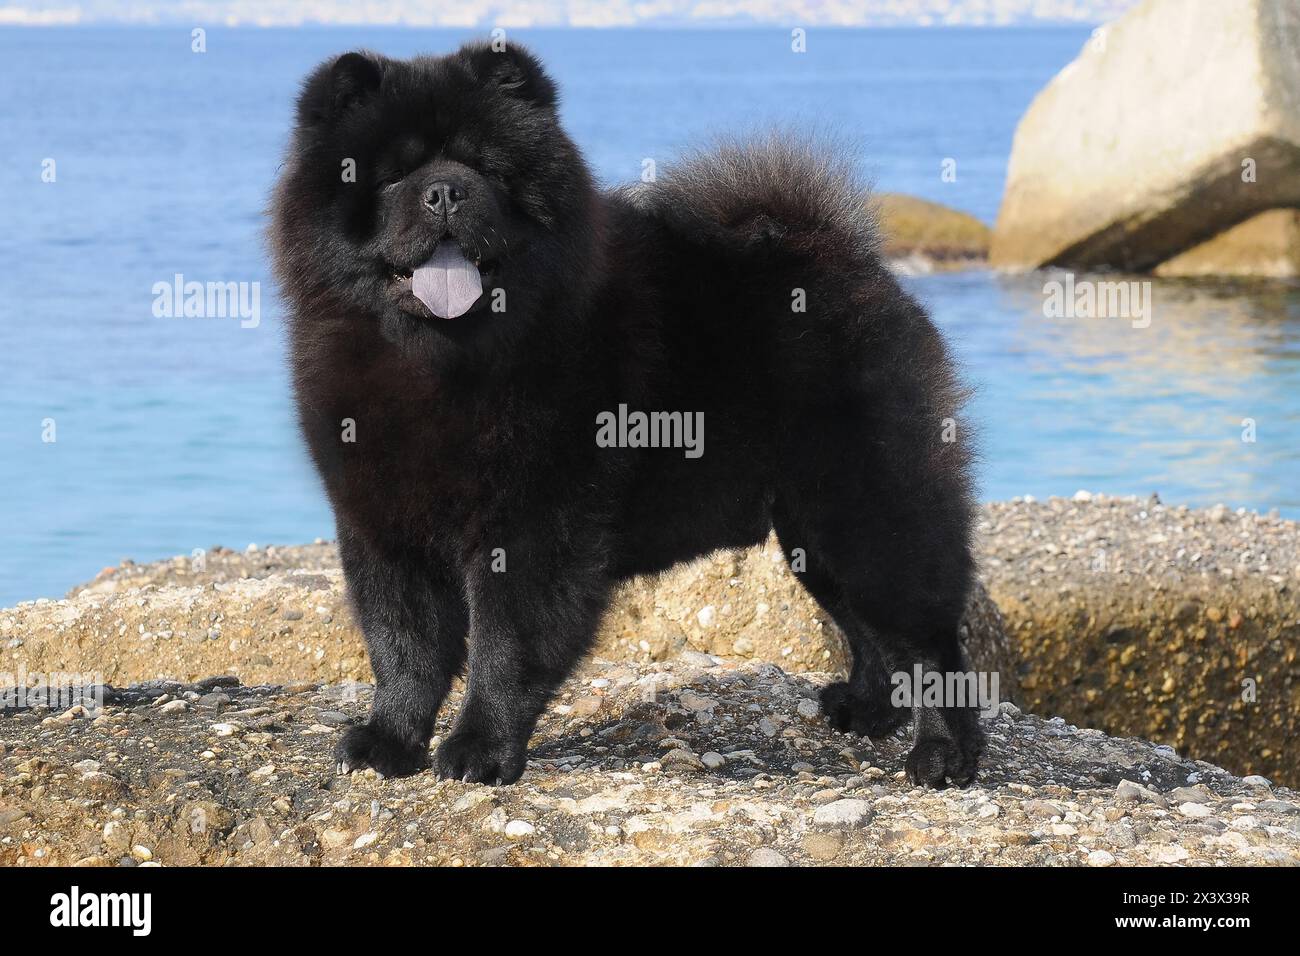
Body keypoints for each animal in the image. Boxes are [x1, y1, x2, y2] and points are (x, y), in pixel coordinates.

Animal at [274, 41, 982, 790]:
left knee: (925, 635)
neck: (441, 358)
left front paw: (479, 751)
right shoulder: (381, 523)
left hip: (865, 506)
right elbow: (403, 646)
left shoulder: (532, 526)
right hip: (808, 527)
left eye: (487, 169)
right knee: (865, 623)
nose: (445, 191)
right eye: (393, 176)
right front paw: (388, 741)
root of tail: (851, 258)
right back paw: (866, 710)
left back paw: (943, 755)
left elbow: (503, 646)